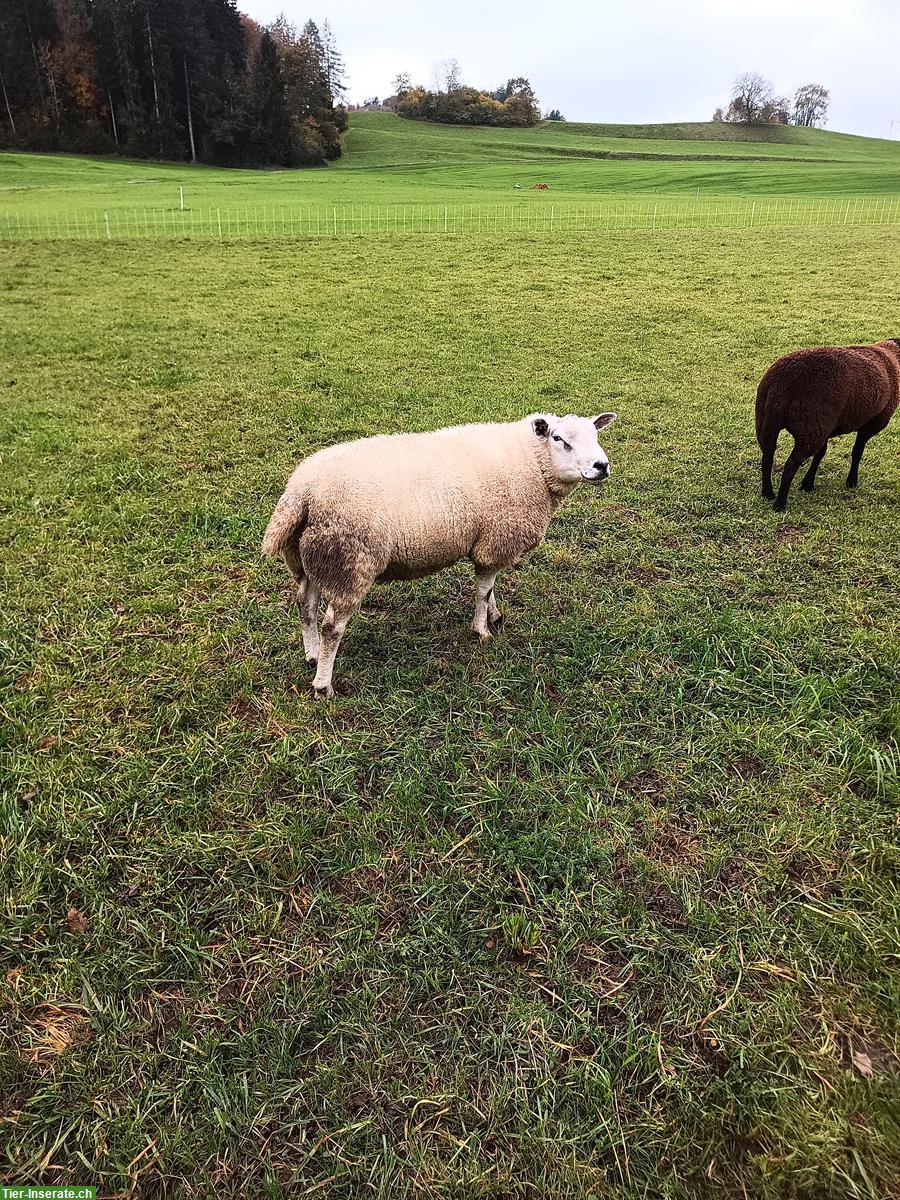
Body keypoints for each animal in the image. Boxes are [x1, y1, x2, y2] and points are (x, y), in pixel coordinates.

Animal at [259, 412, 614, 700]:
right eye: (559, 439)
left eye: (596, 436)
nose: (602, 466)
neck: (531, 462)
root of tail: (301, 490)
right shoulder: (495, 540)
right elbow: (483, 590)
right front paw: (481, 630)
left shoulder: (491, 544)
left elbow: (491, 589)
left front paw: (494, 615)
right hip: (351, 561)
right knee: (332, 626)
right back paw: (323, 685)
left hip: (311, 558)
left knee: (306, 606)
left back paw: (312, 655)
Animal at [763, 338, 900, 511]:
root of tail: (787, 381)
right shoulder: (873, 423)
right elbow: (857, 452)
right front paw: (852, 481)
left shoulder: (828, 429)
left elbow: (821, 454)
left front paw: (807, 484)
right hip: (810, 429)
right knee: (790, 465)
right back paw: (779, 505)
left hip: (771, 421)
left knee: (767, 456)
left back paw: (767, 493)